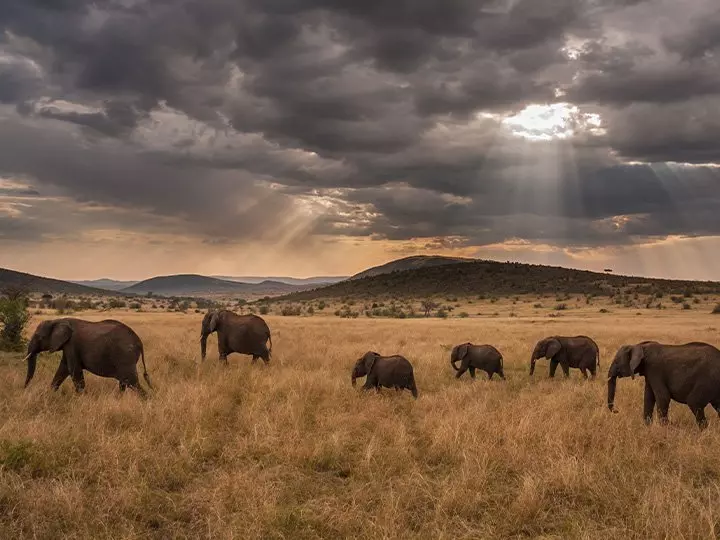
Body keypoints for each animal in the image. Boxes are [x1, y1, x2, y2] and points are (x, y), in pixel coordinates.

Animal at [23, 318, 152, 397]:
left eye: (39, 337)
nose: (24, 388)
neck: (58, 320)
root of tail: (139, 342)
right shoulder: (67, 346)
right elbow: (63, 369)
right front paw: (49, 393)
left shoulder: (72, 344)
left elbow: (73, 370)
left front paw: (81, 398)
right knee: (124, 383)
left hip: (125, 356)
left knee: (131, 382)